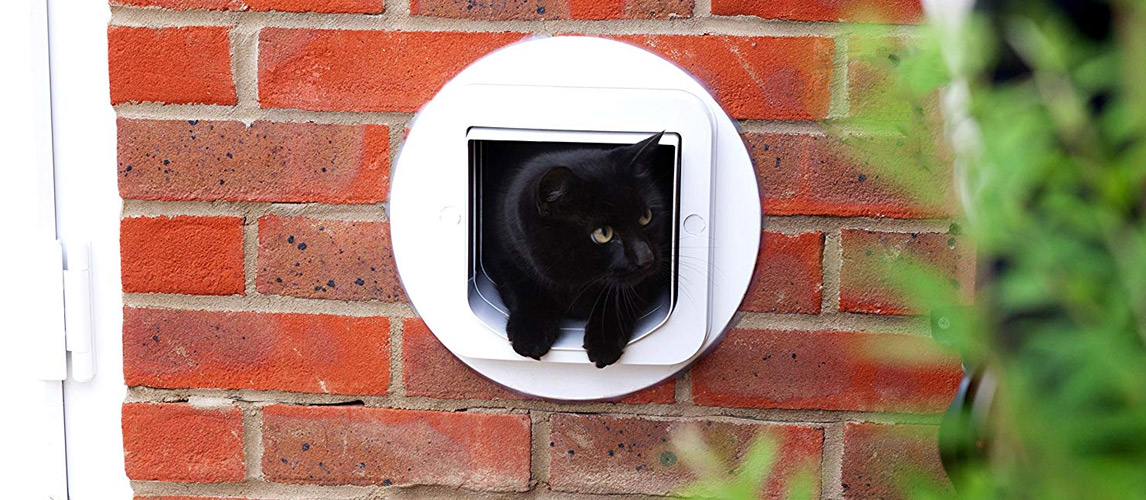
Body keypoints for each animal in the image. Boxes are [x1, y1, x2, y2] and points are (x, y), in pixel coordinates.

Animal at [483, 133, 669, 366]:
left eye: (646, 217)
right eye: (603, 233)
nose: (646, 257)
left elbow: (620, 297)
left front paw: (603, 342)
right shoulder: (503, 251)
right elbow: (521, 286)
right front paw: (530, 333)